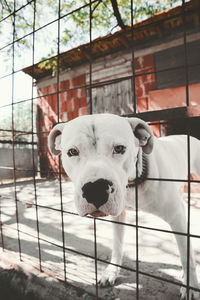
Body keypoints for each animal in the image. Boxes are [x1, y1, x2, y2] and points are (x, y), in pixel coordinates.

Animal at [48, 113, 200, 298]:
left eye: (119, 149)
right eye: (72, 152)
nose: (95, 189)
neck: (133, 184)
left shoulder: (176, 217)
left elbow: (186, 256)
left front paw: (190, 286)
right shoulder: (118, 216)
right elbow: (117, 245)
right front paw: (111, 272)